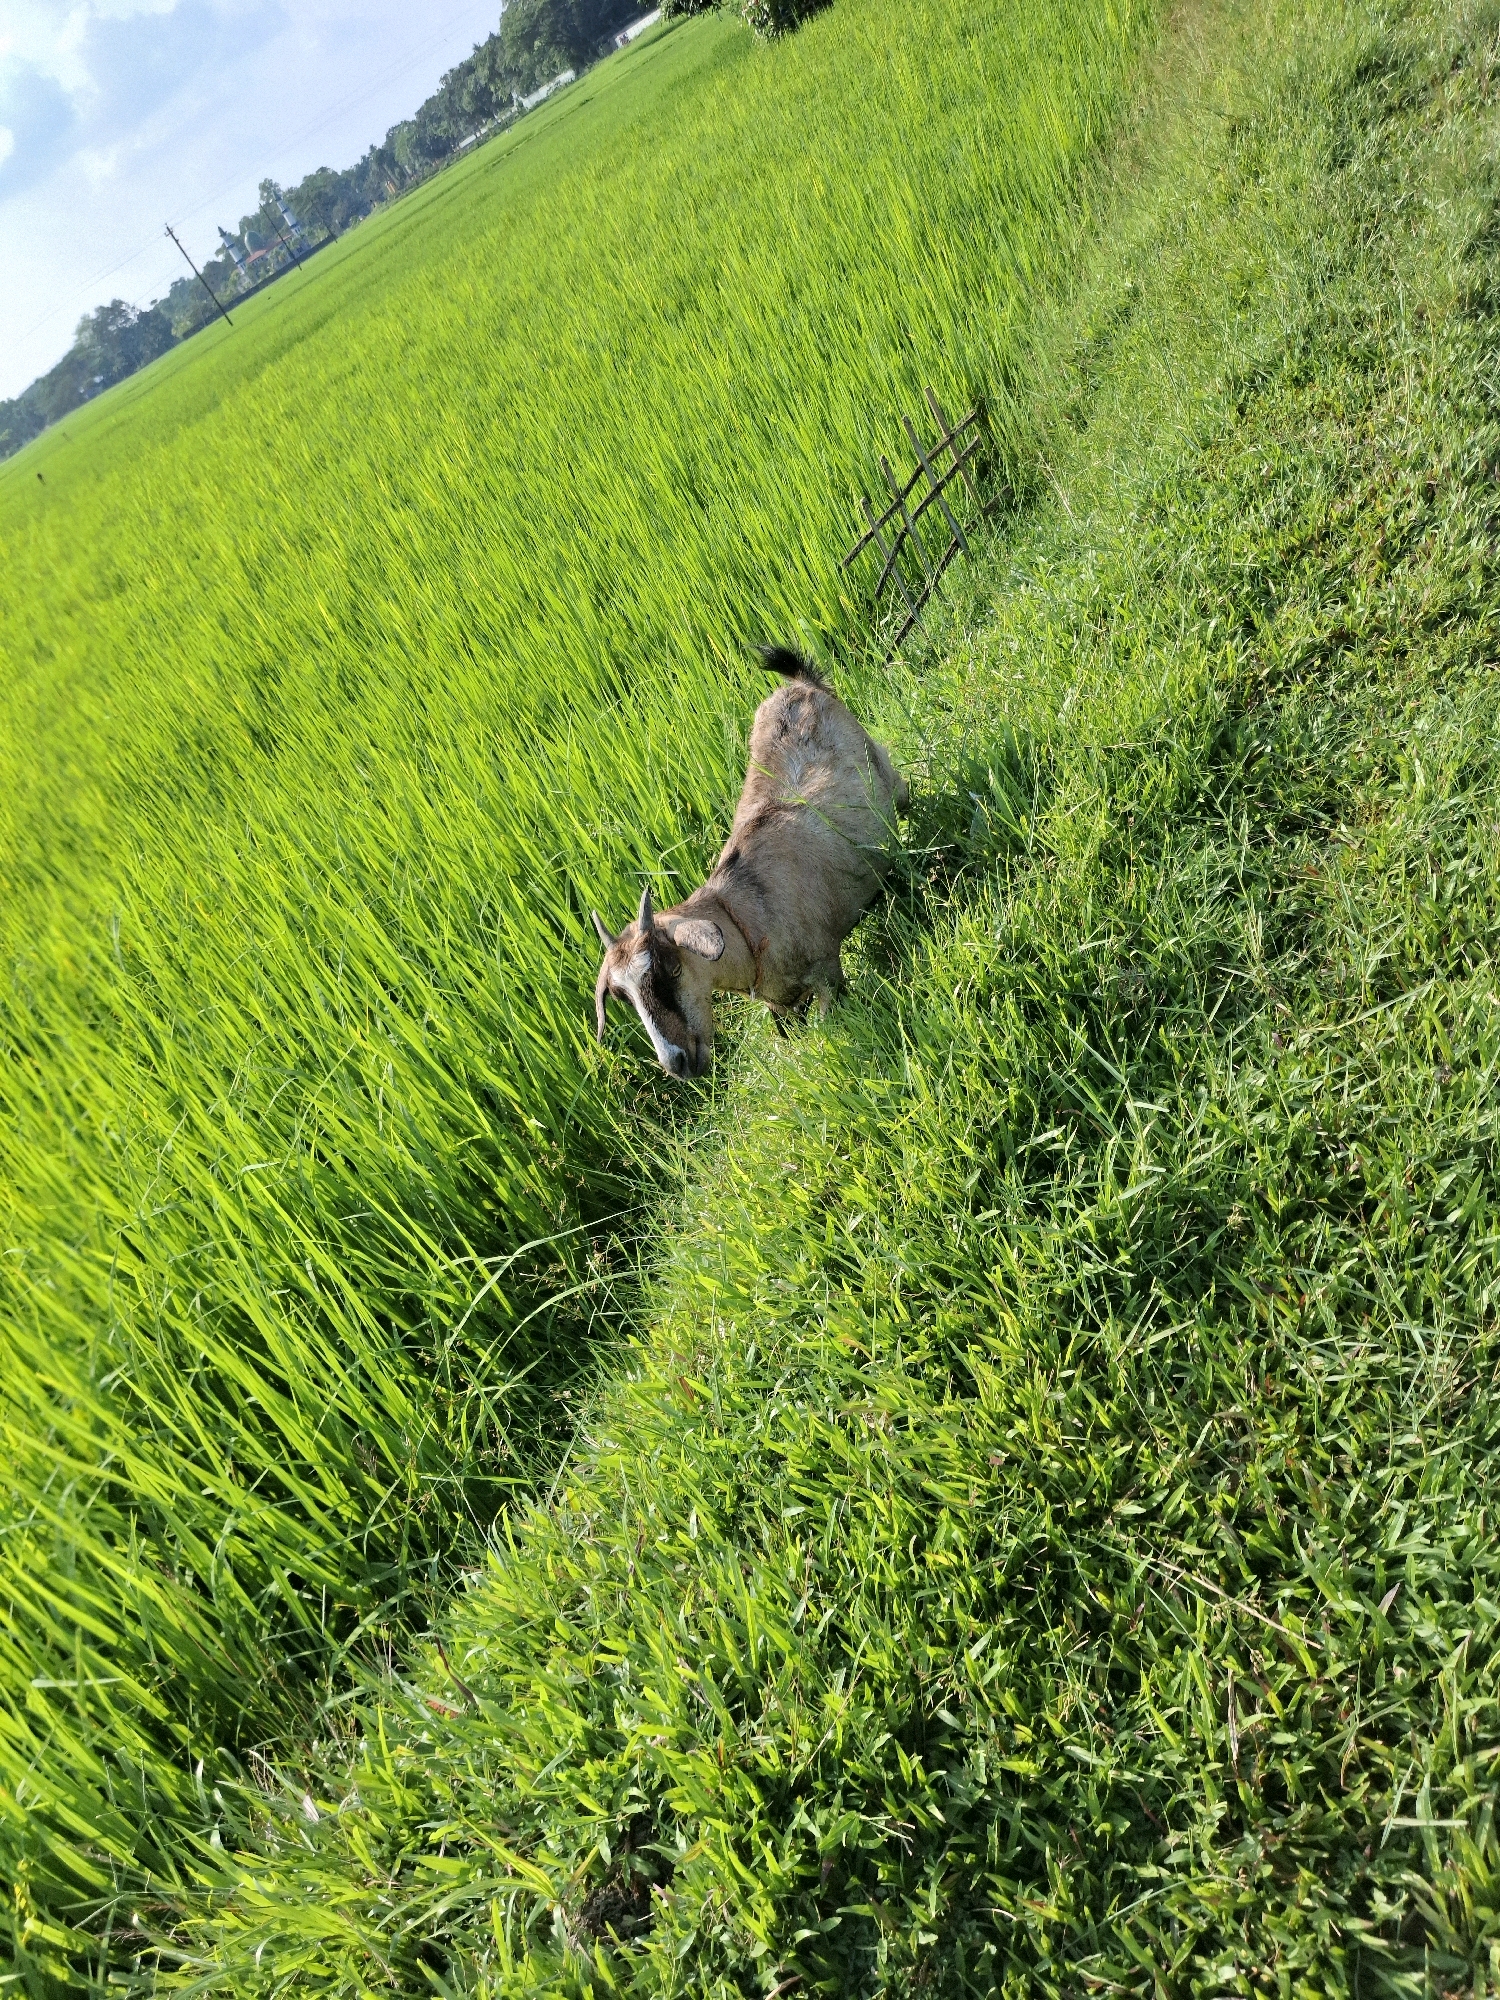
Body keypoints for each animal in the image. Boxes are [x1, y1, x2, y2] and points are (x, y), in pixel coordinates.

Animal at [592, 647, 908, 1077]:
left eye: (670, 968)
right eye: (622, 996)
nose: (676, 1063)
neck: (744, 915)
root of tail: (800, 686)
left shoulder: (827, 969)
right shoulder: (782, 1004)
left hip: (889, 776)